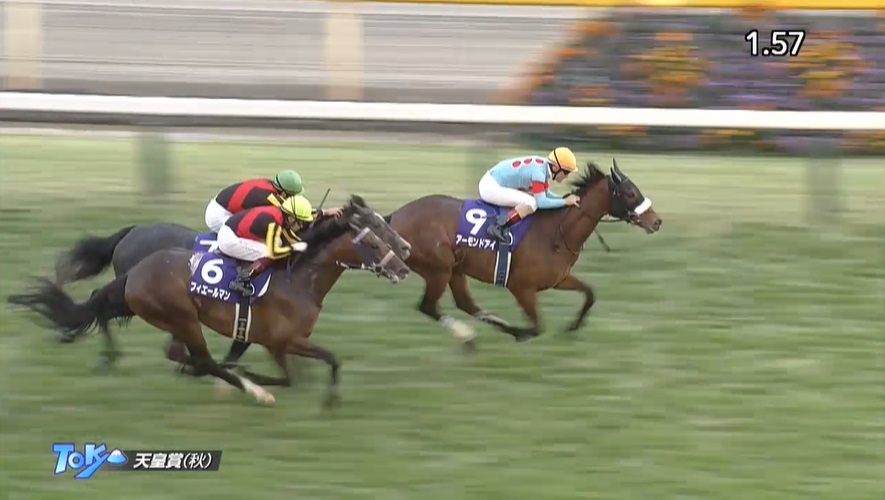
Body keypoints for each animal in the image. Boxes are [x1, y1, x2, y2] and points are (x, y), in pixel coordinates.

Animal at [8, 195, 411, 407]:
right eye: (374, 234)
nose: (405, 258)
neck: (297, 277)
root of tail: (133, 234)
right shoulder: (279, 339)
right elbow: (278, 369)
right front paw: (254, 378)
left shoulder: (263, 335)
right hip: (179, 316)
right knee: (193, 355)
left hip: (154, 308)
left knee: (113, 312)